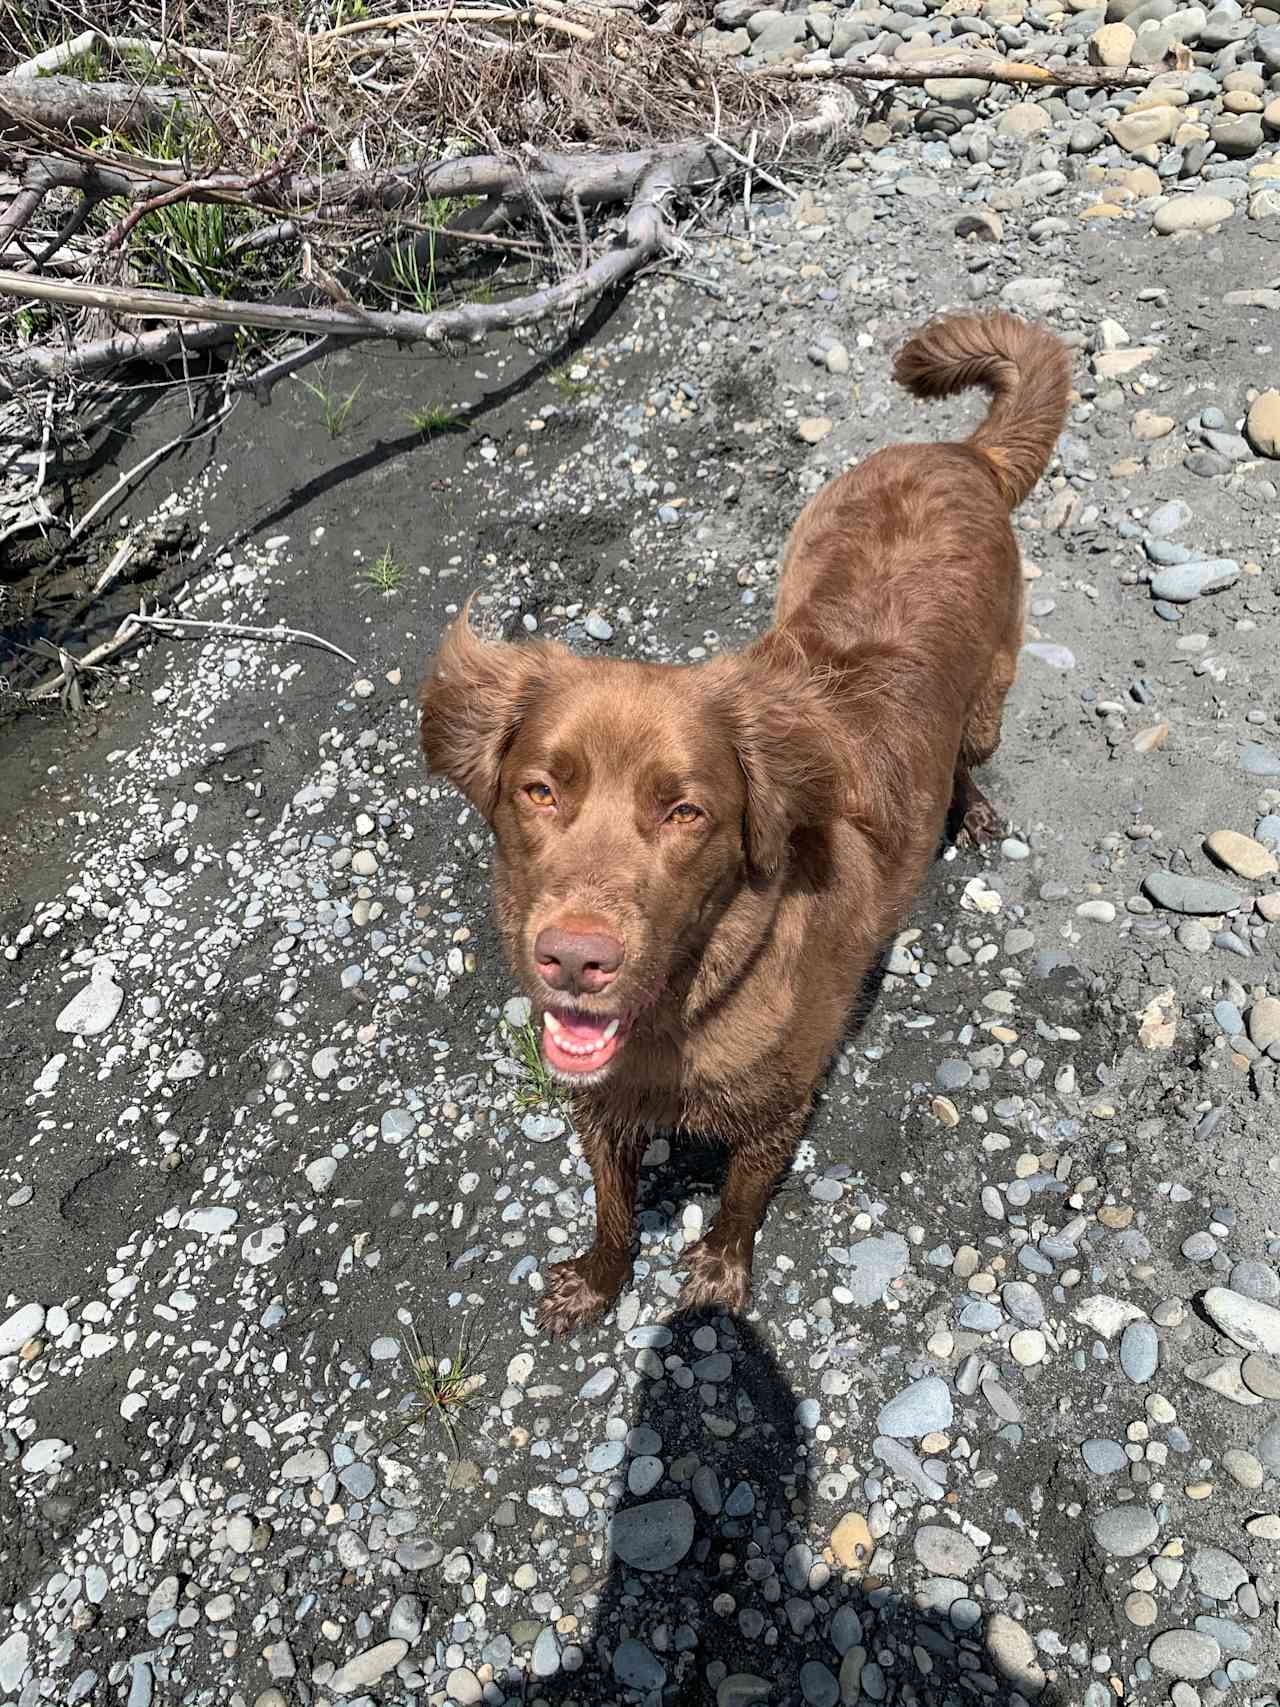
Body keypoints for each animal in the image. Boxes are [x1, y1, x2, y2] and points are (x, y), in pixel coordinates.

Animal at [421, 314, 1071, 1338]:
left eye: (687, 811)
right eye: (540, 791)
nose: (574, 958)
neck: (680, 1011)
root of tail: (958, 452)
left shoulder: (779, 1108)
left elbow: (738, 1198)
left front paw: (718, 1277)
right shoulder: (598, 1103)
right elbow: (612, 1202)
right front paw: (596, 1279)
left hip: (989, 700)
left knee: (971, 754)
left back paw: (972, 811)